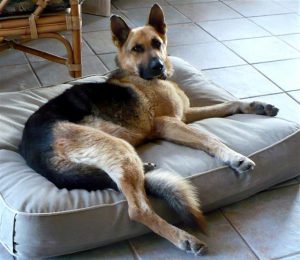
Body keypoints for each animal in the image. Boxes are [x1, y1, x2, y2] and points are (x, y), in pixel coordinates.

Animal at [19, 4, 278, 256]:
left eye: (157, 43)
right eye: (137, 48)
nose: (158, 66)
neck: (140, 75)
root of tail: (30, 149)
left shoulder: (184, 114)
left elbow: (227, 104)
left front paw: (257, 106)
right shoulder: (169, 123)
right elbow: (209, 138)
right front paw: (235, 157)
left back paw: (147, 168)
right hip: (118, 147)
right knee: (137, 210)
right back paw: (183, 238)